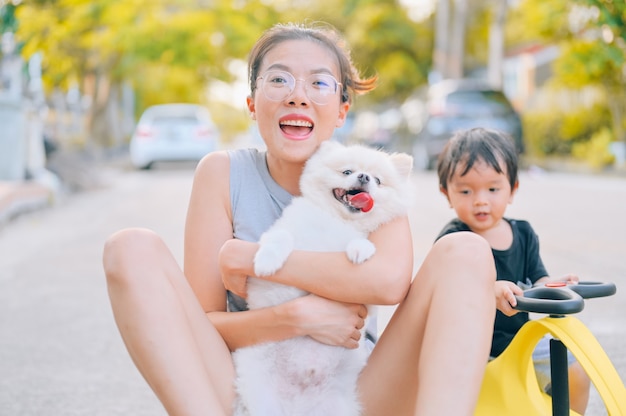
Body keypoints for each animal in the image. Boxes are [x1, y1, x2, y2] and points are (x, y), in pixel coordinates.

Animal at [232, 141, 412, 416]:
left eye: (378, 180)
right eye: (347, 171)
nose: (364, 176)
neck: (337, 220)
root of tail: (298, 404)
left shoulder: (368, 302)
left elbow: (360, 243)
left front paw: (361, 250)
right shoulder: (282, 238)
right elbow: (280, 238)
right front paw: (267, 261)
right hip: (261, 389)